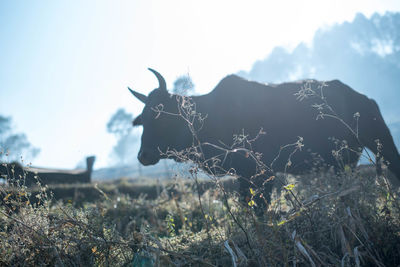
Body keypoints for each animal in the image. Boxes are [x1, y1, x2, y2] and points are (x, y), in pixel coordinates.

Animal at [129, 68, 400, 205]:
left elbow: (261, 206)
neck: (210, 114)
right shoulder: (242, 175)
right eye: (143, 118)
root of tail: (364, 98)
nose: (143, 156)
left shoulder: (262, 172)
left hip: (383, 144)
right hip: (343, 163)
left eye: (160, 114)